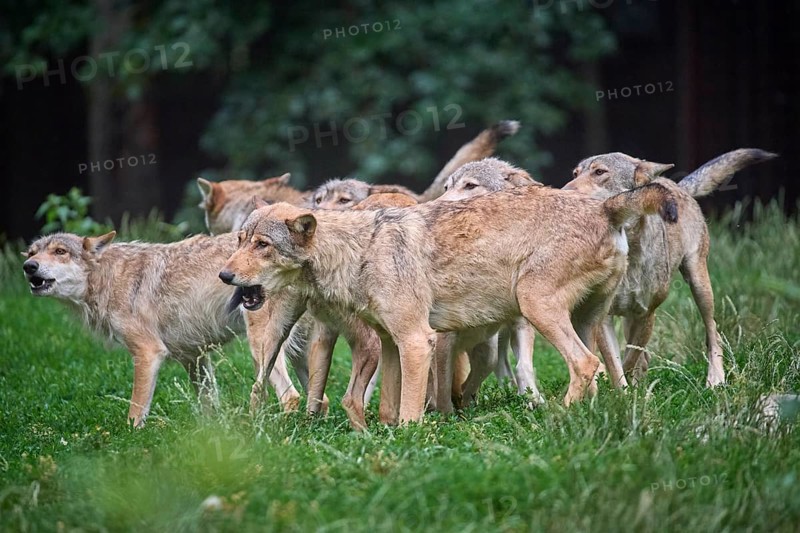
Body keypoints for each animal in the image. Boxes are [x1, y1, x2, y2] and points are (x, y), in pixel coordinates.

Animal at [22, 231, 307, 427]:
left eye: (60, 251)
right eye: (32, 252)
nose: (29, 267)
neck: (109, 278)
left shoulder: (148, 352)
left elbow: (135, 413)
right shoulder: (194, 357)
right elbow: (210, 407)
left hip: (261, 350)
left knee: (290, 396)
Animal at [218, 170, 678, 424]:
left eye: (262, 245)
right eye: (240, 241)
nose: (225, 275)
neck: (361, 250)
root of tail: (605, 207)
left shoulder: (417, 341)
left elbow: (408, 412)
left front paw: (412, 439)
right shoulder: (391, 344)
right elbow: (386, 409)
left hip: (536, 306)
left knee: (585, 364)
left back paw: (557, 416)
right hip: (587, 321)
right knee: (597, 372)